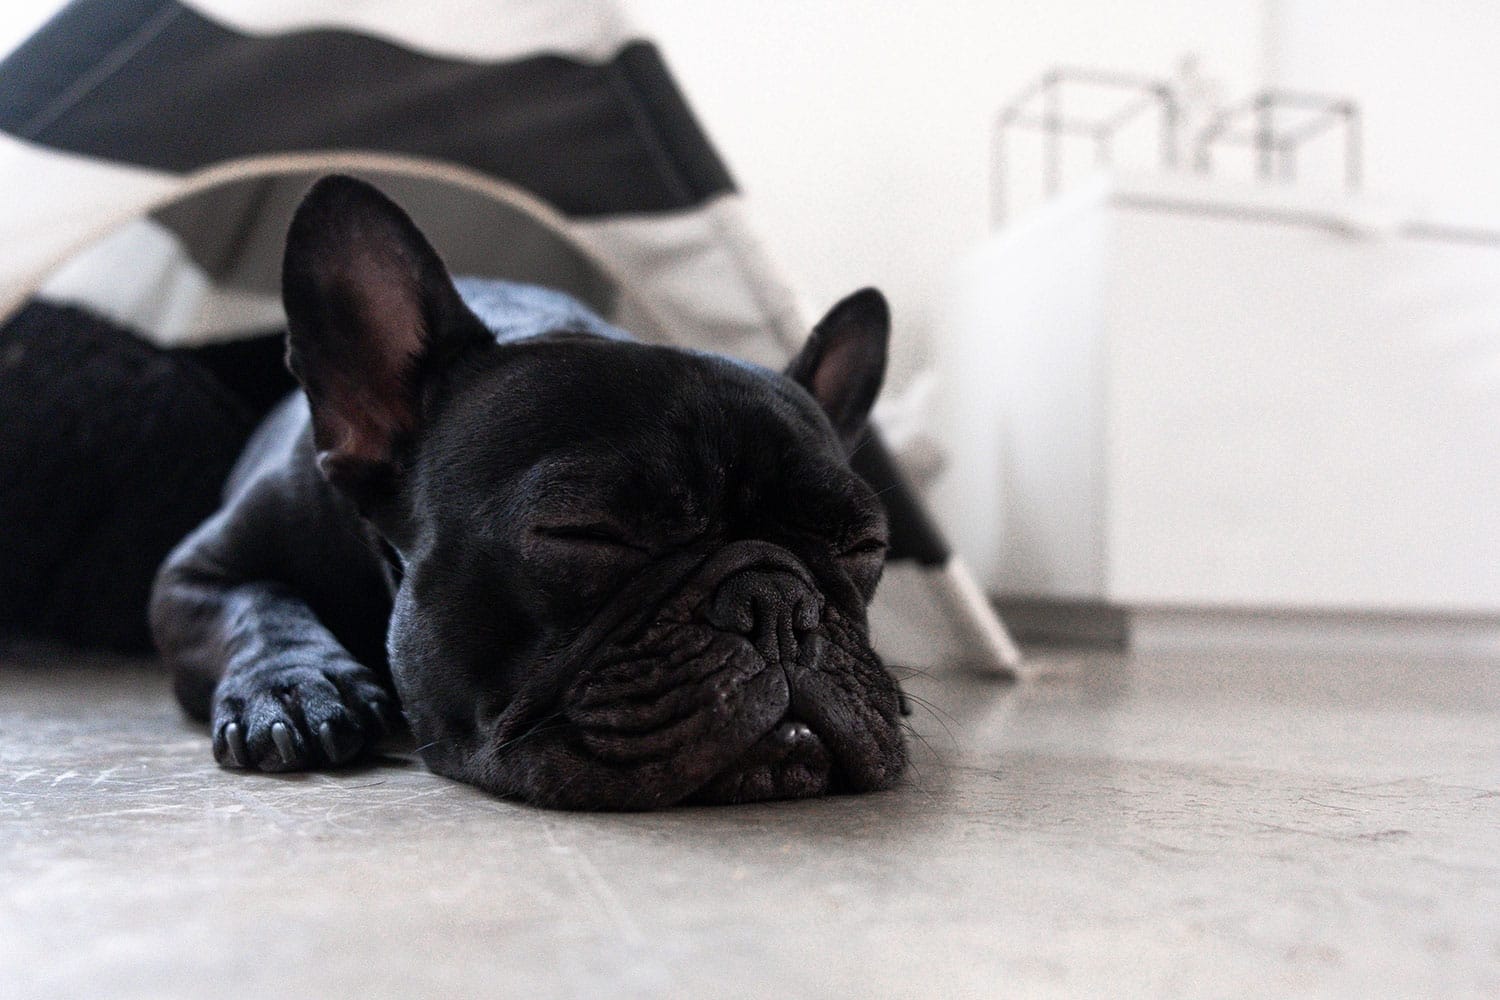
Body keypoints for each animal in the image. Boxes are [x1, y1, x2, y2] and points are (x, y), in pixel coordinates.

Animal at [141, 176, 906, 809]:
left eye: (866, 545)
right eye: (584, 532)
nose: (779, 604)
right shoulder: (190, 574)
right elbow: (257, 605)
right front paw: (295, 685)